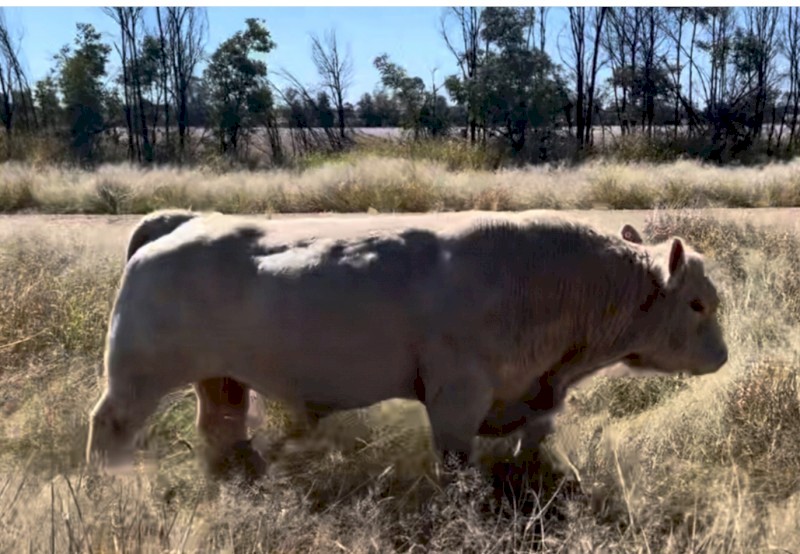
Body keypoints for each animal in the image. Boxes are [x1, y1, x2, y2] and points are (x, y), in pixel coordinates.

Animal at [86, 211, 729, 481]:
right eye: (698, 304)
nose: (722, 356)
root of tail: (181, 223)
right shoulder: (457, 399)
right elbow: (457, 466)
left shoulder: (536, 394)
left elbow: (537, 443)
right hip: (136, 380)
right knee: (110, 425)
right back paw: (107, 485)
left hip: (221, 379)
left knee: (222, 425)